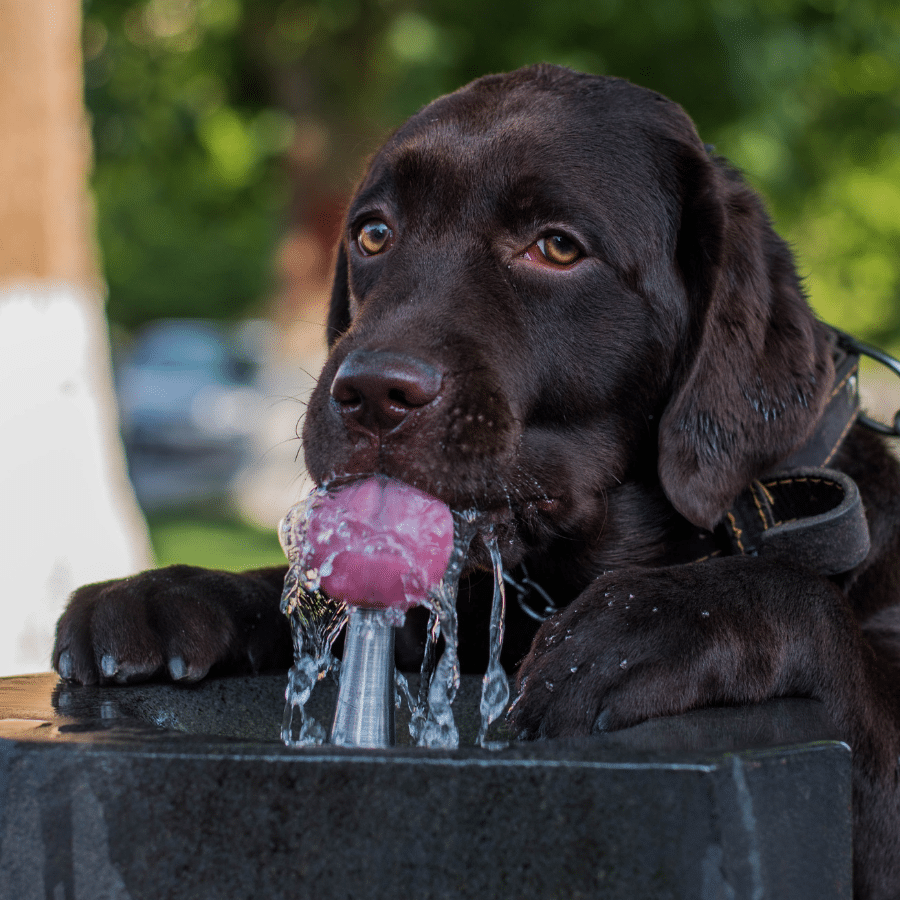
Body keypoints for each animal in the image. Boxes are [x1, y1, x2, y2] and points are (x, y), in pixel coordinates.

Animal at [54, 67, 900, 896]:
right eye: (373, 233)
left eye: (557, 248)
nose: (371, 393)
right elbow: (310, 591)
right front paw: (171, 593)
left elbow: (807, 609)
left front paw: (651, 623)